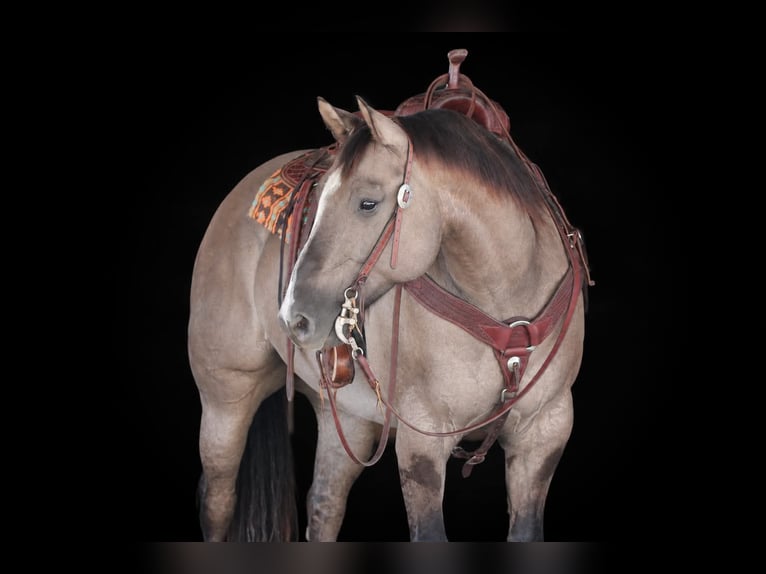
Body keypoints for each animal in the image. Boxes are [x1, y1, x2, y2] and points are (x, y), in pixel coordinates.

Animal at [188, 58, 592, 542]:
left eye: (368, 203)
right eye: (320, 199)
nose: (294, 317)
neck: (506, 297)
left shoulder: (545, 432)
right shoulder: (424, 444)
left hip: (345, 415)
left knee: (324, 505)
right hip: (225, 400)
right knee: (217, 500)